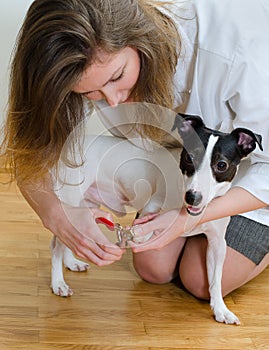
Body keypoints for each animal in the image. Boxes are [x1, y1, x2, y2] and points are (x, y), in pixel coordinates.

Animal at [50, 115, 260, 326]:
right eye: (189, 157)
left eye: (222, 165)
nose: (192, 197)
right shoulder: (154, 203)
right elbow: (146, 225)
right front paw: (140, 236)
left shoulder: (217, 244)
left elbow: (216, 280)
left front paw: (220, 309)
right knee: (57, 246)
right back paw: (58, 283)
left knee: (69, 238)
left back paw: (71, 263)